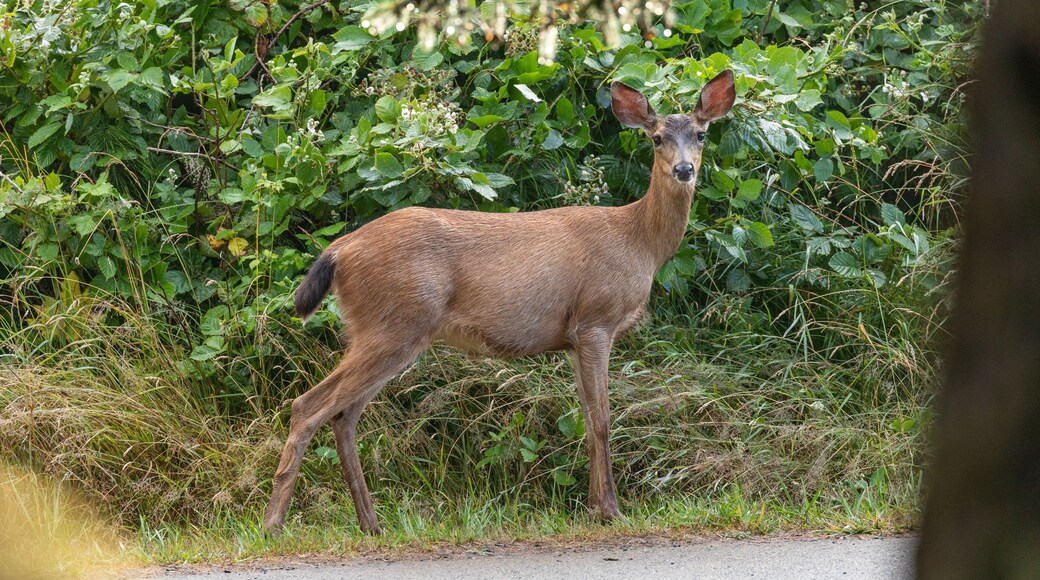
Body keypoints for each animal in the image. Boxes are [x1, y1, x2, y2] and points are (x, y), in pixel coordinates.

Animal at [263, 69, 737, 535]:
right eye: (656, 138)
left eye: (700, 134)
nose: (683, 169)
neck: (639, 241)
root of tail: (339, 251)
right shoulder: (595, 321)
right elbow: (602, 420)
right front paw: (610, 510)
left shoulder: (573, 338)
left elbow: (586, 419)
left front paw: (592, 506)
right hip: (394, 324)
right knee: (309, 406)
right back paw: (274, 524)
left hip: (386, 331)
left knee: (344, 415)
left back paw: (371, 523)